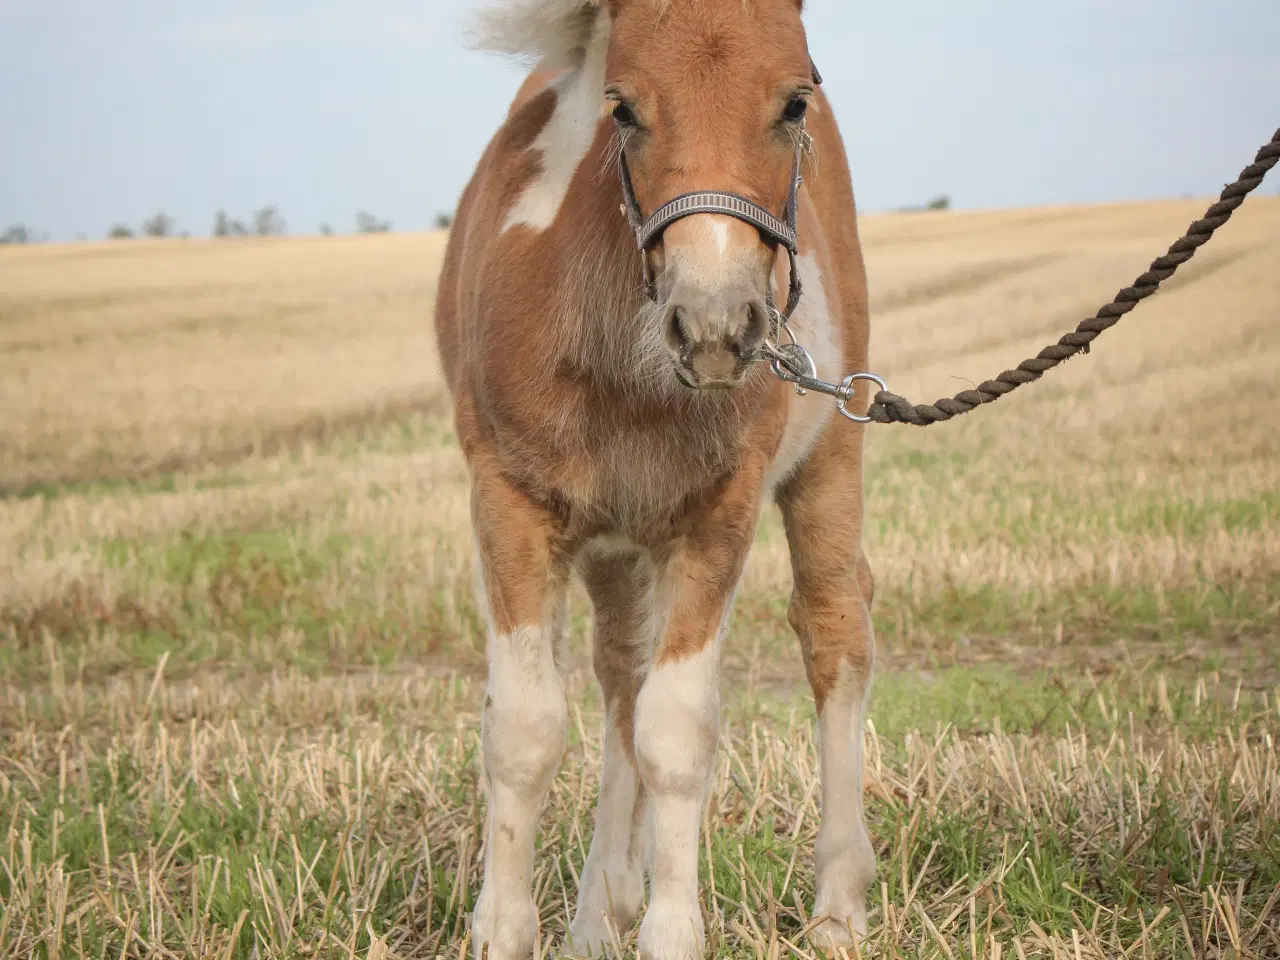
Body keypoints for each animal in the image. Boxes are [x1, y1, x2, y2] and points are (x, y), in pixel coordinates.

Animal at [435, 1, 875, 960]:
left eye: (794, 103)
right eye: (624, 108)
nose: (714, 326)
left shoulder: (717, 514)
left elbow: (676, 732)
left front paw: (670, 931)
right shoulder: (510, 501)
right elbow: (525, 728)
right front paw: (511, 928)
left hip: (831, 455)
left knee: (833, 631)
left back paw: (837, 908)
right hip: (614, 544)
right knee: (619, 678)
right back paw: (600, 914)